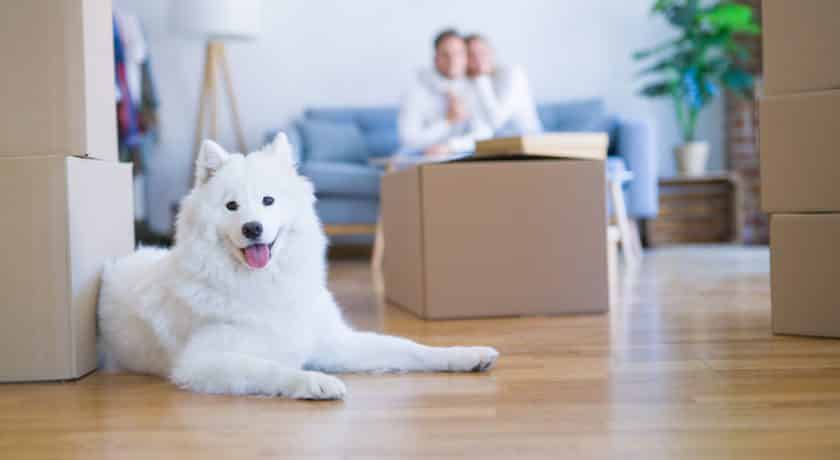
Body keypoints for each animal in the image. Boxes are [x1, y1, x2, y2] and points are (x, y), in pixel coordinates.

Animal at [101, 133, 502, 398]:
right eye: (231, 206)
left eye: (268, 200)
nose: (252, 228)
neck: (265, 283)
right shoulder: (202, 362)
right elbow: (270, 368)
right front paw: (314, 382)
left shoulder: (334, 341)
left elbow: (408, 347)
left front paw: (465, 355)